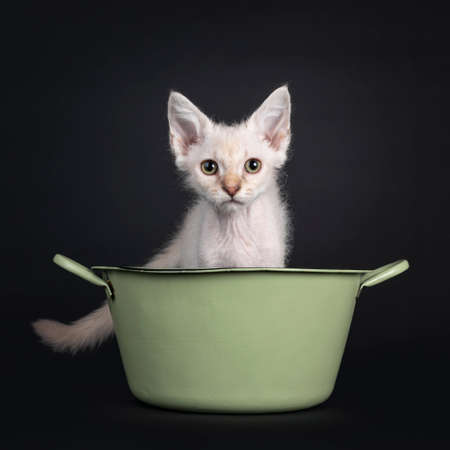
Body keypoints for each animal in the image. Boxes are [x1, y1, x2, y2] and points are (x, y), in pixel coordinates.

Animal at [31, 84, 292, 352]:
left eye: (253, 165)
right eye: (209, 167)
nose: (231, 188)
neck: (234, 230)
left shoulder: (271, 264)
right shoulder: (207, 266)